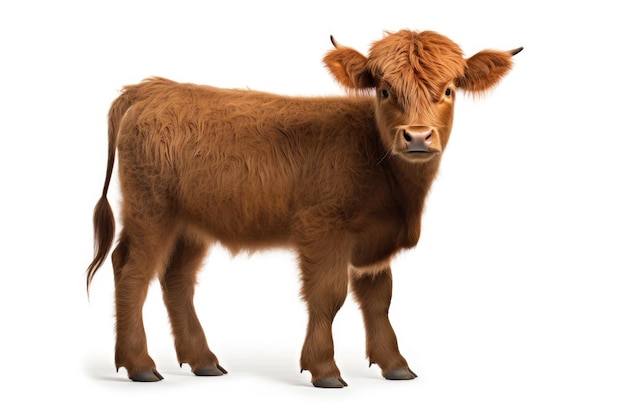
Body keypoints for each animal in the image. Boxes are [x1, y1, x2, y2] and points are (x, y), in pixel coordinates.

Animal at [85, 30, 520, 386]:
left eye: (448, 90)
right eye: (384, 90)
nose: (417, 136)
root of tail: (153, 88)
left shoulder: (374, 242)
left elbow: (379, 300)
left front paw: (395, 365)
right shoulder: (323, 229)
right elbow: (329, 296)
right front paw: (324, 369)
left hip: (191, 225)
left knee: (176, 279)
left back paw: (203, 360)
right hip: (150, 212)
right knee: (132, 272)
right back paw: (139, 364)